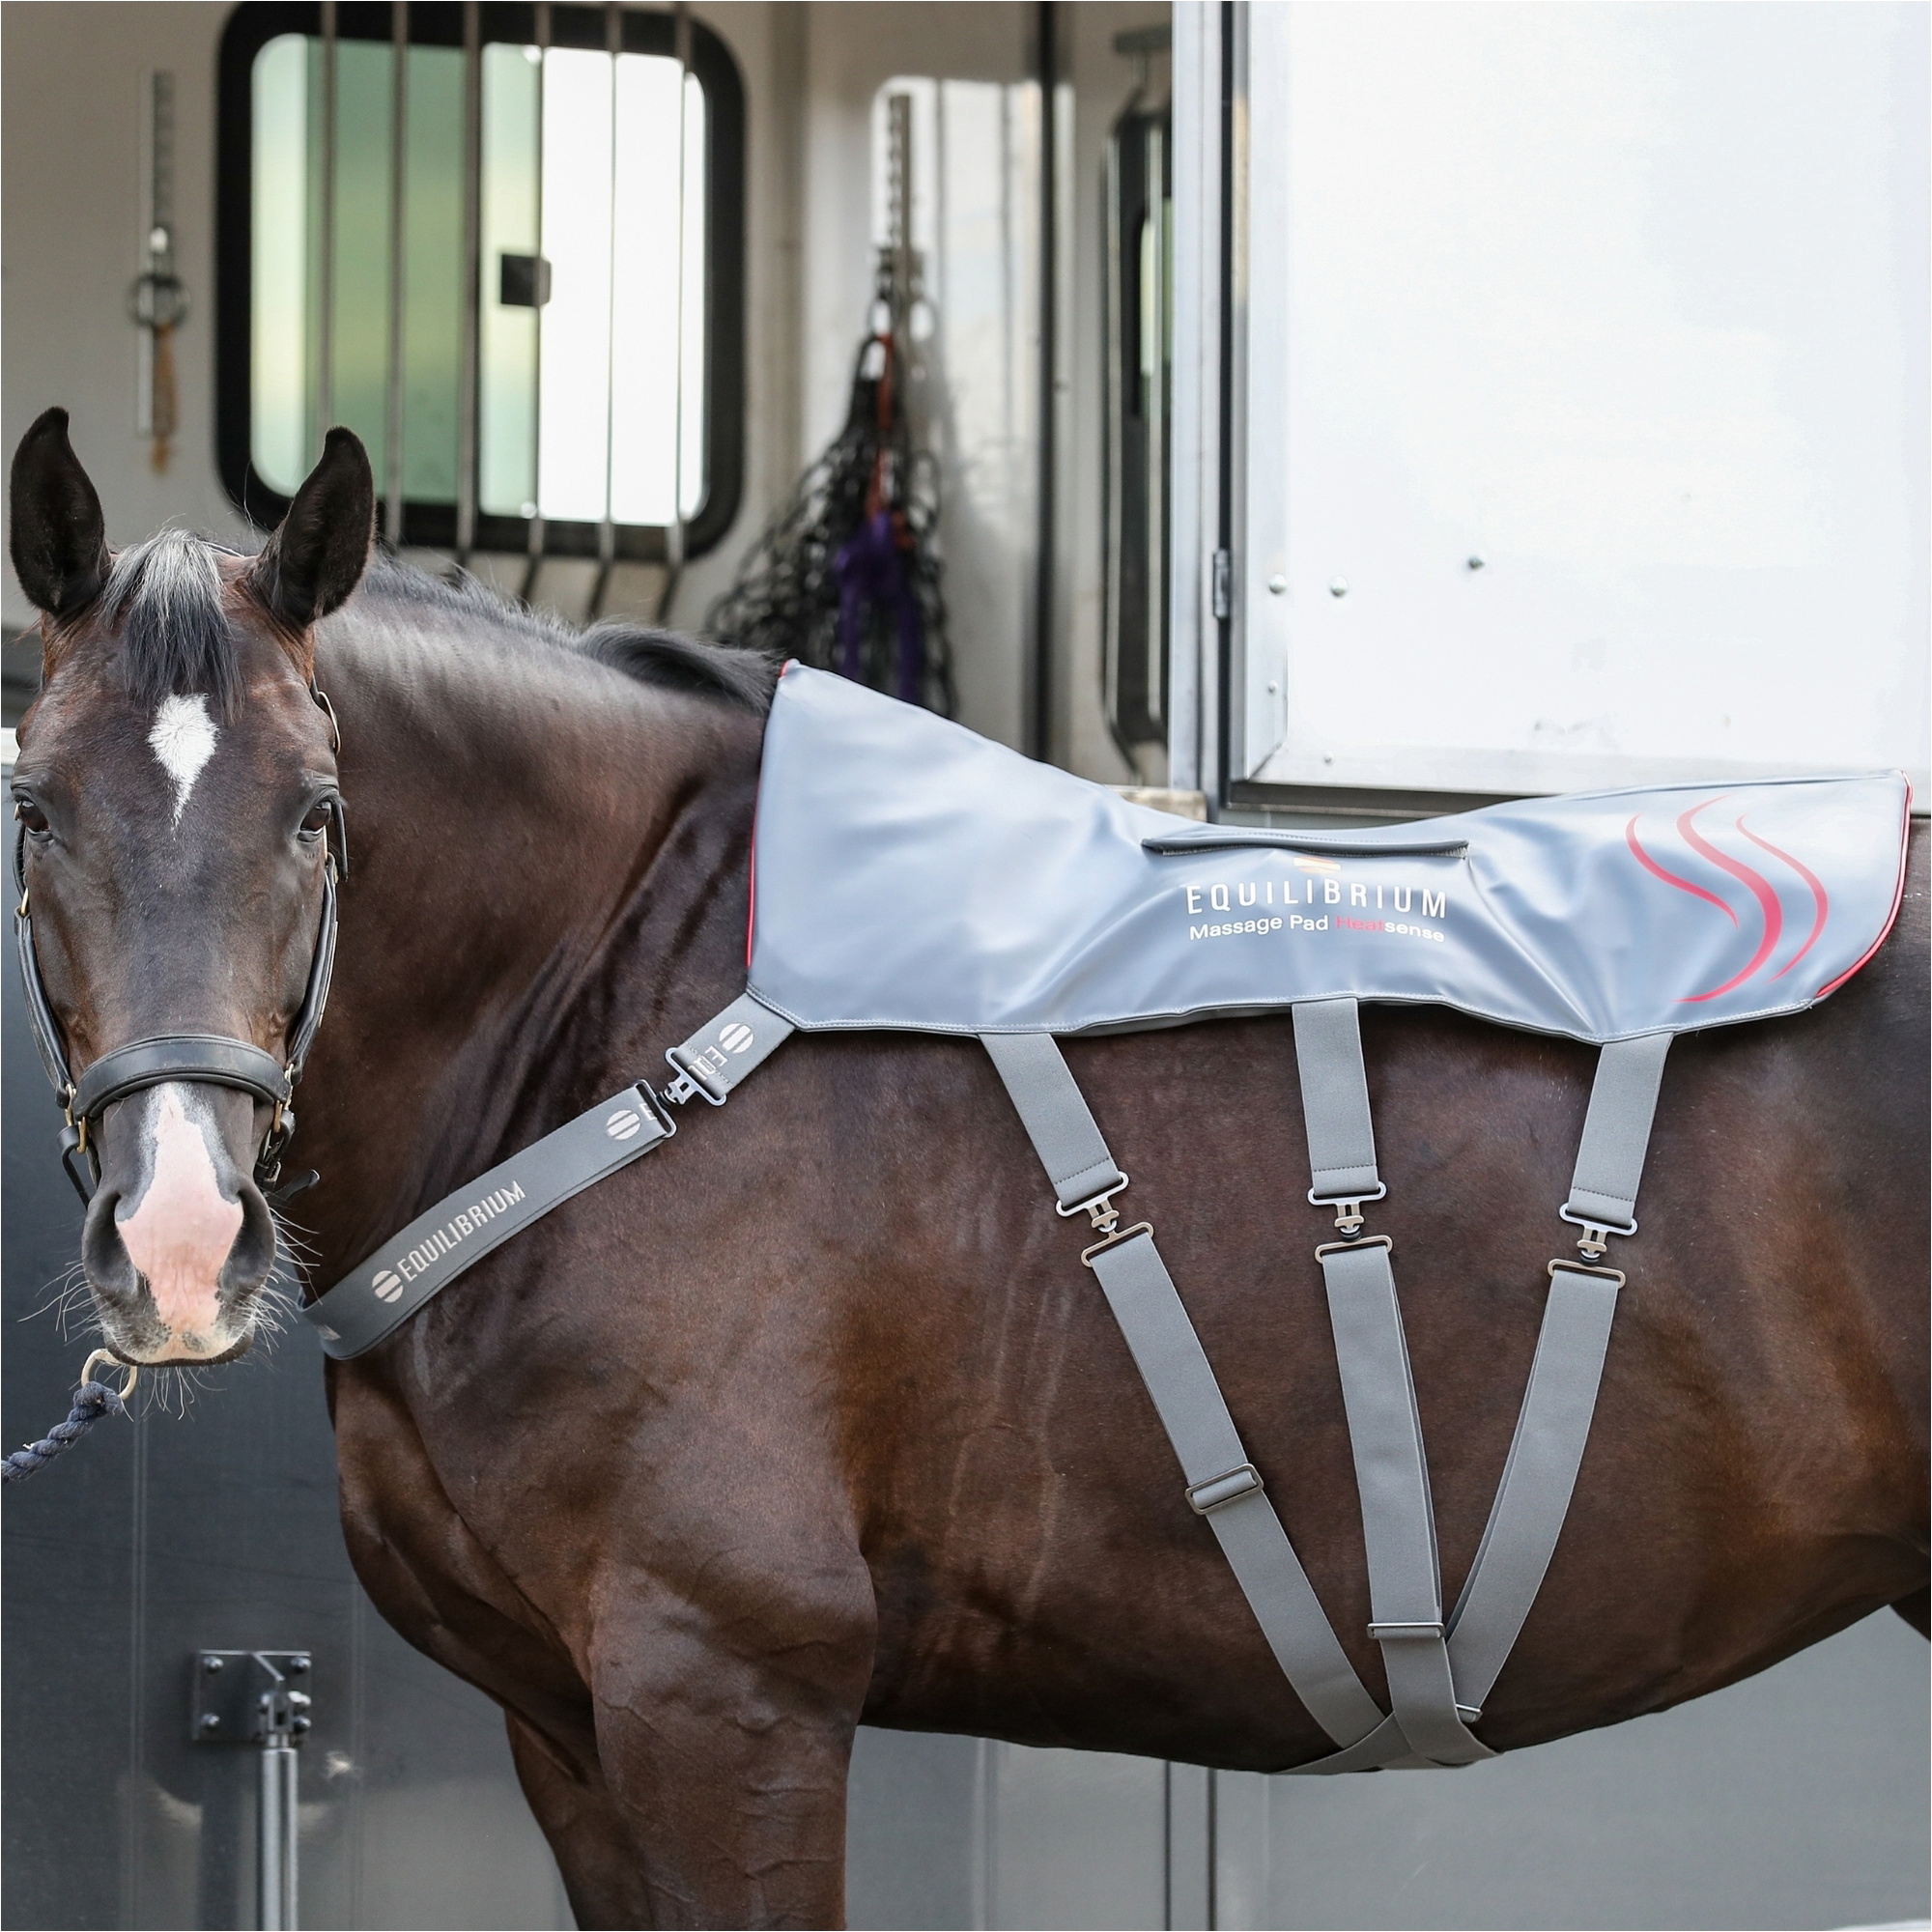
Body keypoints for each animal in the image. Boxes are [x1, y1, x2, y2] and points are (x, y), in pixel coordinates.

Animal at [9, 410, 1926, 1929]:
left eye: (318, 814)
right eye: (33, 809)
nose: (179, 1240)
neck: (625, 1005)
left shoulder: (727, 1693)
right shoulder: (565, 1726)